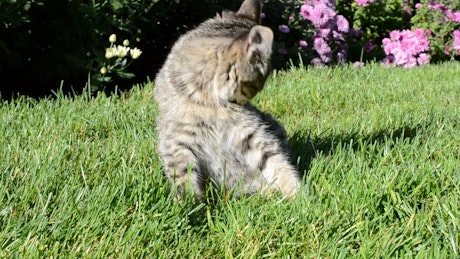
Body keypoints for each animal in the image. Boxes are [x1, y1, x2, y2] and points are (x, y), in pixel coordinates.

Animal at [153, 0, 300, 201]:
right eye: (257, 85)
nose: (250, 100)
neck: (211, 103)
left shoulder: (251, 136)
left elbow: (279, 164)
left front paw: (300, 197)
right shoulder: (179, 143)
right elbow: (184, 180)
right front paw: (190, 205)